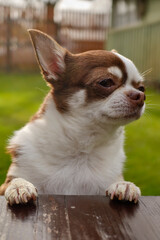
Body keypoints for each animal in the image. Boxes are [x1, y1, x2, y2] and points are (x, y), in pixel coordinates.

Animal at [0, 29, 145, 204]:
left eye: (142, 87)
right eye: (106, 82)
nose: (140, 96)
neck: (82, 146)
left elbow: (117, 181)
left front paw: (123, 185)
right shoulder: (6, 183)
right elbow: (15, 180)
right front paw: (19, 185)